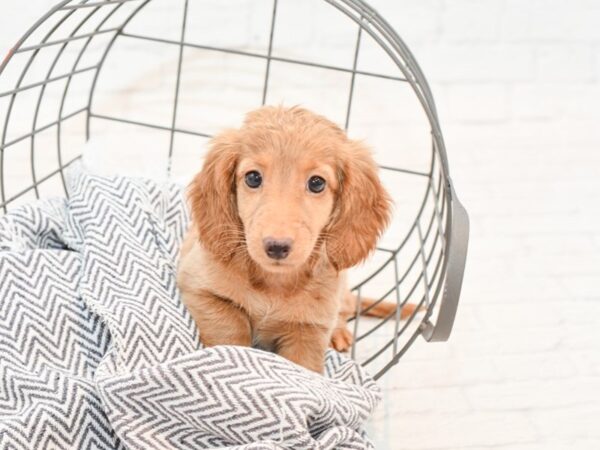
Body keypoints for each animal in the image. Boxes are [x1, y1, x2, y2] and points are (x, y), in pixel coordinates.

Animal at [177, 105, 418, 372]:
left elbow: (304, 368)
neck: (274, 283)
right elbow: (229, 329)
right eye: (253, 178)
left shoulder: (309, 329)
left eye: (317, 183)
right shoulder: (199, 288)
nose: (276, 247)